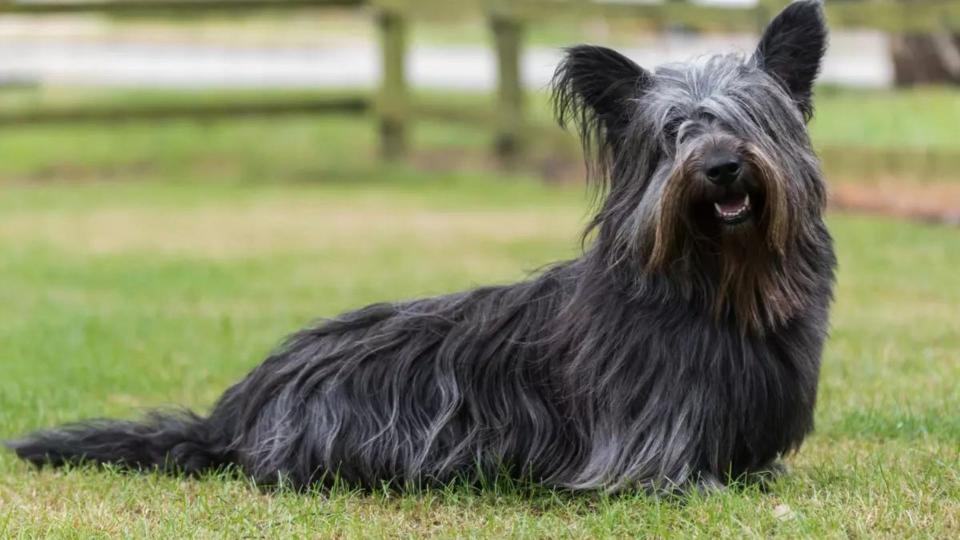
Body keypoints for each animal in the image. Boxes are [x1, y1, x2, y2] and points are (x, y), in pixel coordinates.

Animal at [5, 1, 832, 494]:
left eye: (751, 118)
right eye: (673, 134)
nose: (720, 167)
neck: (714, 284)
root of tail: (230, 417)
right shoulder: (640, 453)